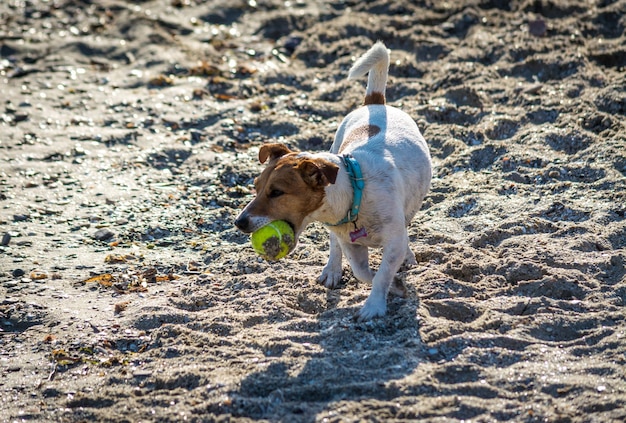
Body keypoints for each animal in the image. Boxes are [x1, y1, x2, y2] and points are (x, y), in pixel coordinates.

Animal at [233, 43, 428, 322]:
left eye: (277, 192)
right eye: (256, 187)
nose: (239, 222)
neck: (355, 193)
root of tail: (375, 103)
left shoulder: (393, 241)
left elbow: (382, 272)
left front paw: (374, 306)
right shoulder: (351, 244)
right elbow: (362, 271)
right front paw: (395, 287)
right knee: (335, 246)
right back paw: (332, 271)